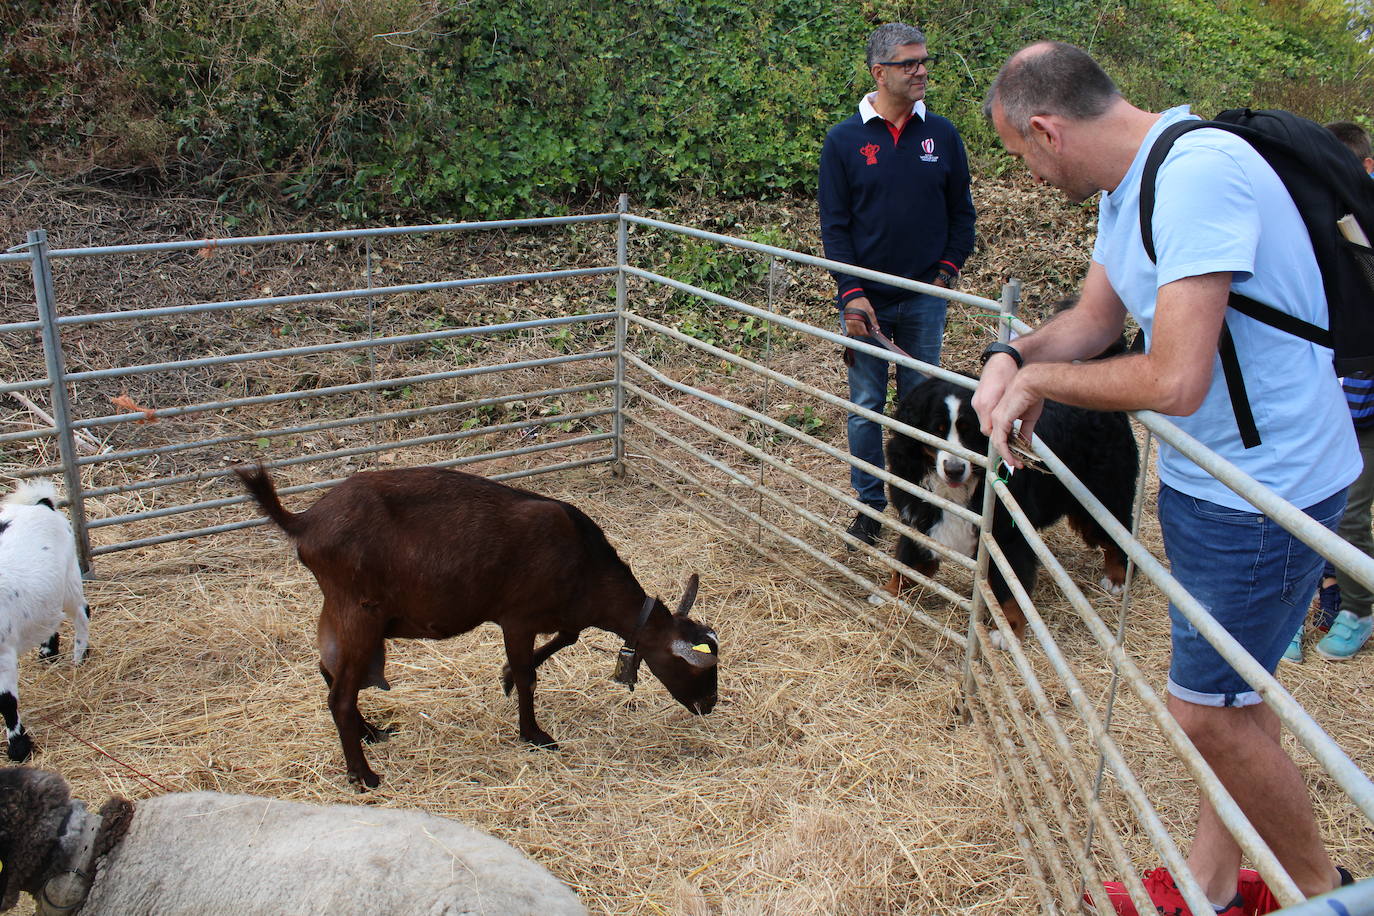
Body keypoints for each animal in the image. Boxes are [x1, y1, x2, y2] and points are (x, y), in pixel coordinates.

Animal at [0, 477, 89, 763]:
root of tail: (40, 505)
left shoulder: (3, 654)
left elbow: (6, 701)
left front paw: (19, 748)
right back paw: (48, 650)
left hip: (70, 580)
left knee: (83, 612)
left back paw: (79, 655)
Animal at [234, 466, 719, 791]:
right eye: (694, 668)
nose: (709, 705)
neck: (582, 561)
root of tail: (304, 520)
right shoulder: (517, 617)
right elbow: (528, 675)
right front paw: (534, 734)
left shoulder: (558, 614)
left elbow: (567, 636)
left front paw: (505, 682)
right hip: (360, 611)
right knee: (339, 693)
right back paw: (364, 773)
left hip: (342, 609)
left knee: (329, 670)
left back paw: (369, 732)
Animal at [884, 373, 1143, 645]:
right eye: (937, 430)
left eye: (970, 431)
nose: (954, 469)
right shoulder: (919, 516)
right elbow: (906, 561)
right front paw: (888, 592)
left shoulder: (1007, 537)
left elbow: (1010, 587)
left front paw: (1007, 629)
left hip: (1099, 499)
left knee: (1116, 538)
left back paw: (1117, 579)